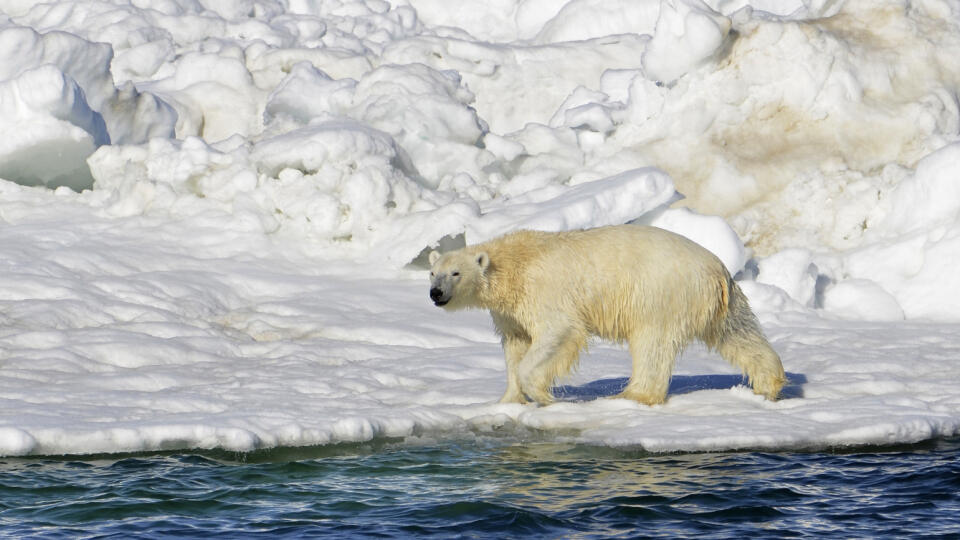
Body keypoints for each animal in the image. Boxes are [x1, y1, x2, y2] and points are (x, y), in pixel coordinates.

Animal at [430, 224, 788, 404]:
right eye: (433, 273)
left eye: (455, 273)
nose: (436, 293)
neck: (513, 265)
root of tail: (717, 270)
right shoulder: (510, 311)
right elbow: (515, 344)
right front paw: (508, 400)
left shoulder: (544, 292)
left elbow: (558, 332)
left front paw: (543, 395)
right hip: (720, 302)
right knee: (739, 333)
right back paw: (768, 384)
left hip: (660, 293)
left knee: (652, 344)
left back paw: (632, 395)